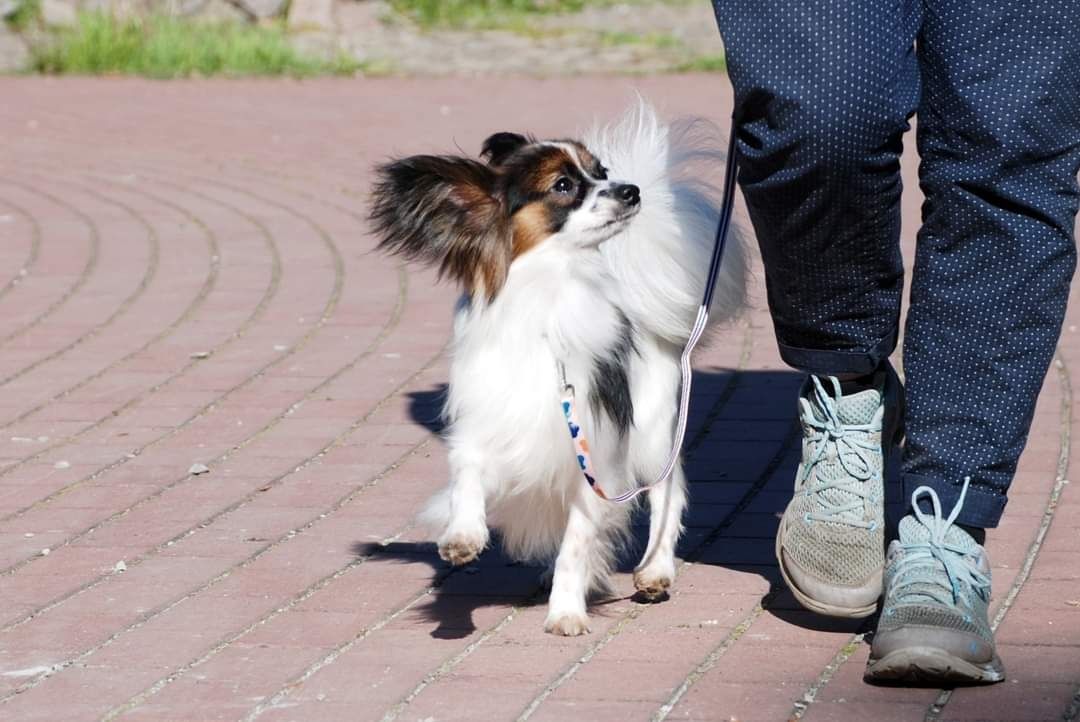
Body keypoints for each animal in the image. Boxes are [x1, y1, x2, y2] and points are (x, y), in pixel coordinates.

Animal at [367, 104, 747, 634]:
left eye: (602, 172)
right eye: (564, 185)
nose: (631, 190)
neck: (546, 304)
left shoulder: (596, 458)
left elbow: (576, 545)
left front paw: (566, 611)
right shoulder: (488, 421)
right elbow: (467, 475)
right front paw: (463, 535)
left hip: (653, 433)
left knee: (667, 495)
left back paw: (656, 570)